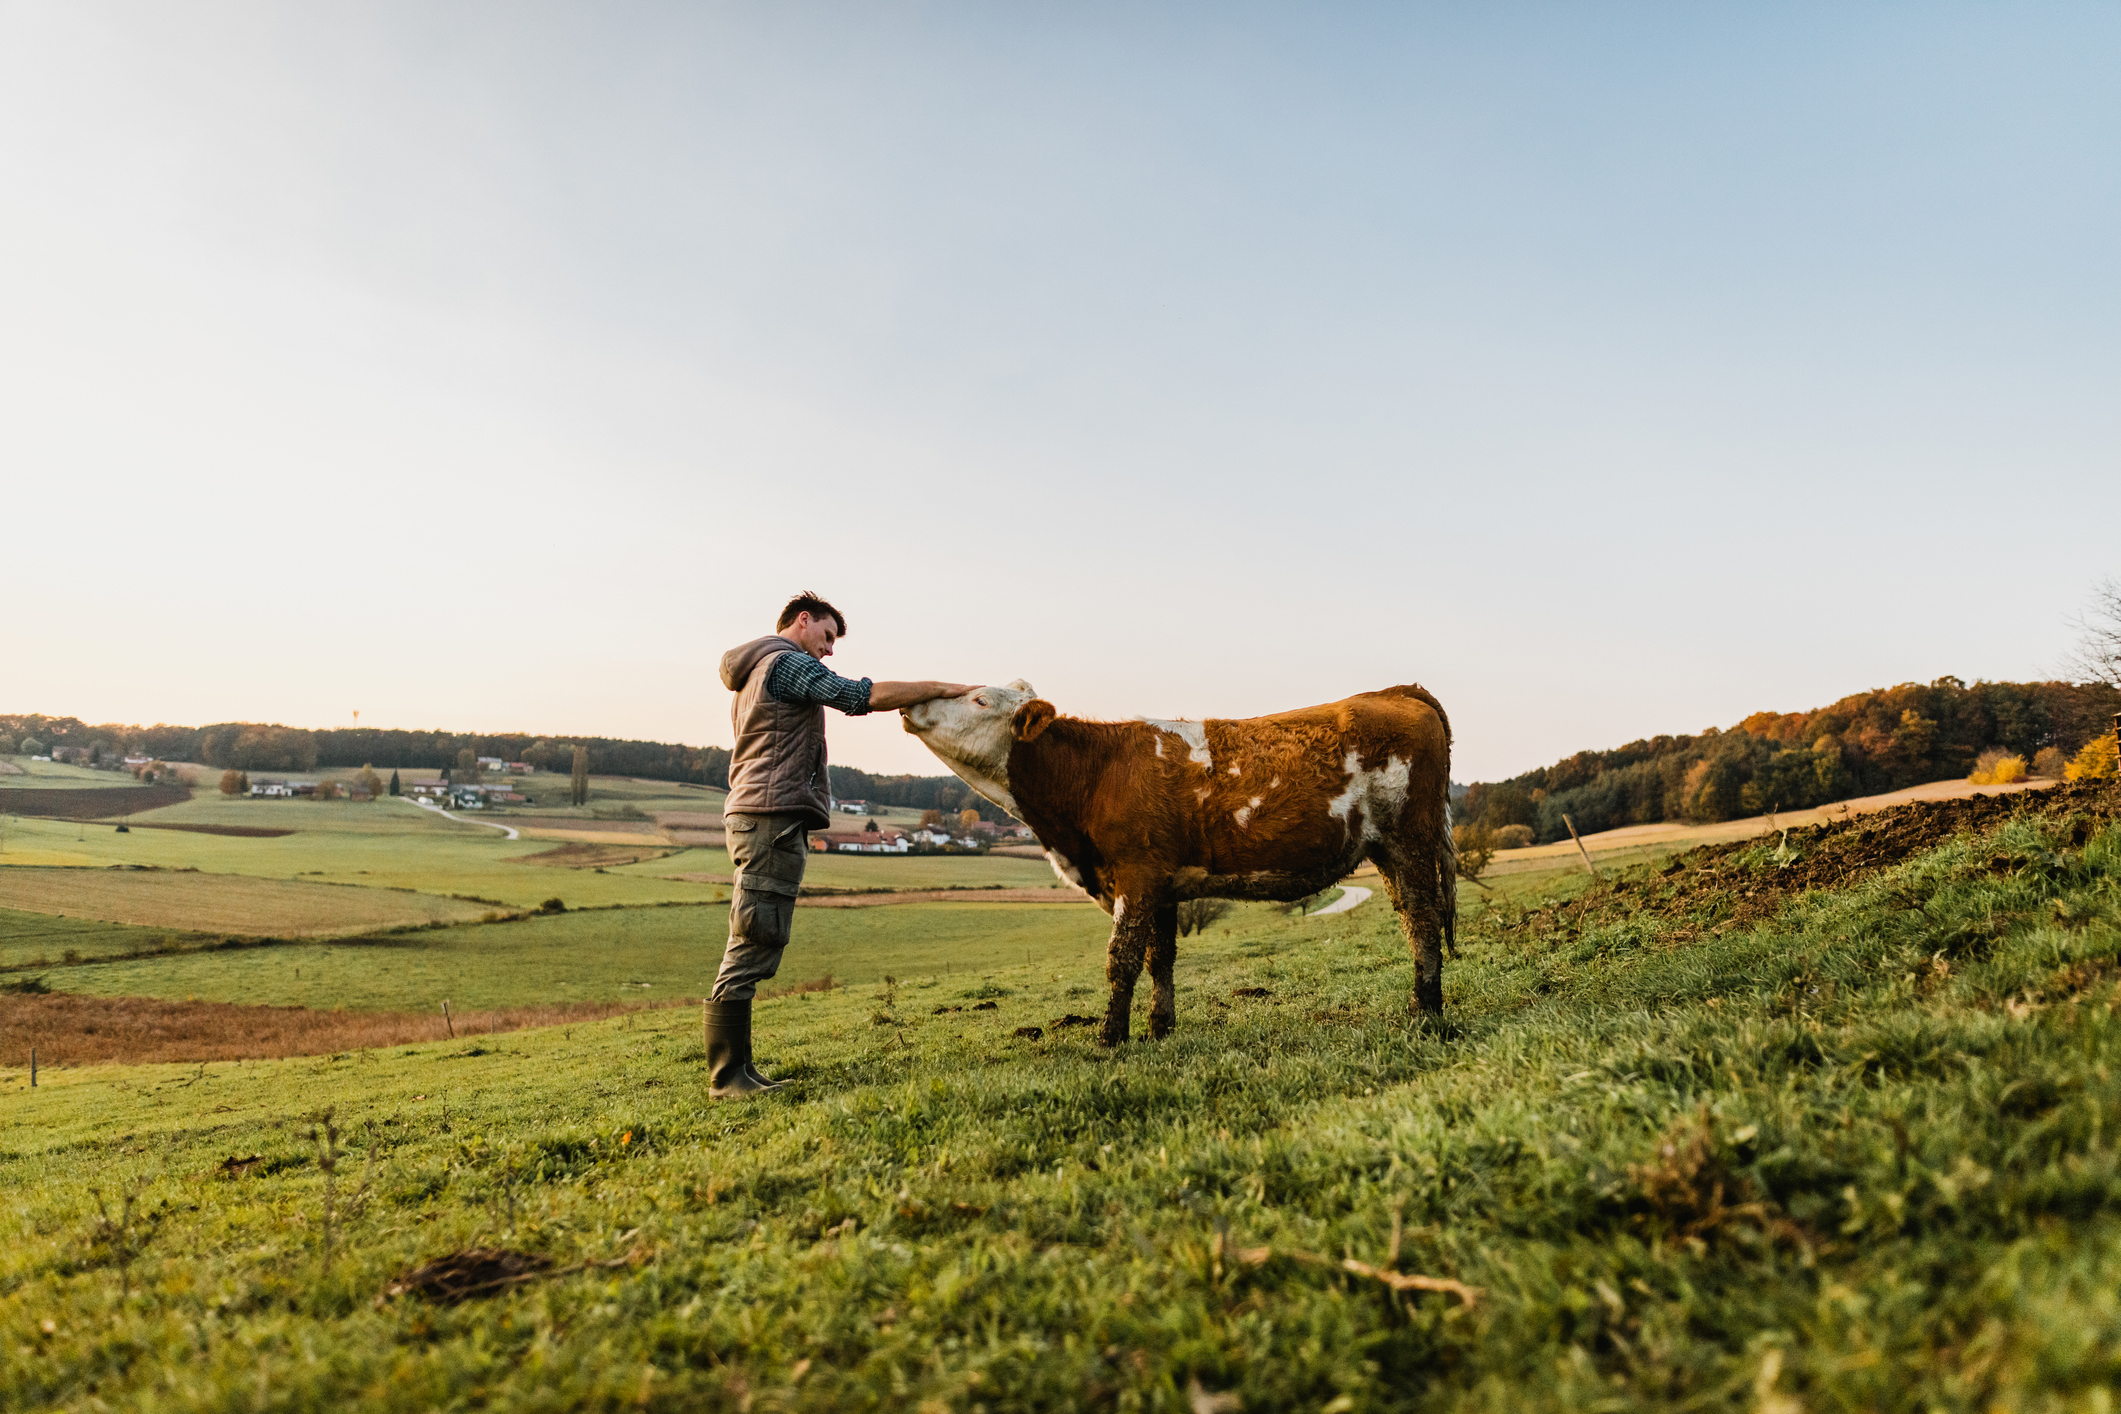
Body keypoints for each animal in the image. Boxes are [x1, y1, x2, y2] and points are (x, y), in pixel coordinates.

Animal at [903, 678, 1450, 1047]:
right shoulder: (1161, 885)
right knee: (1411, 919)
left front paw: (1111, 1038)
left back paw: (1426, 1013)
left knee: (1424, 921)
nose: (912, 703)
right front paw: (1159, 1028)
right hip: (1386, 850)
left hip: (1410, 840)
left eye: (979, 700)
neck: (1095, 773)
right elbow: (1158, 959)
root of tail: (1395, 691)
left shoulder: (1136, 872)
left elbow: (1121, 959)